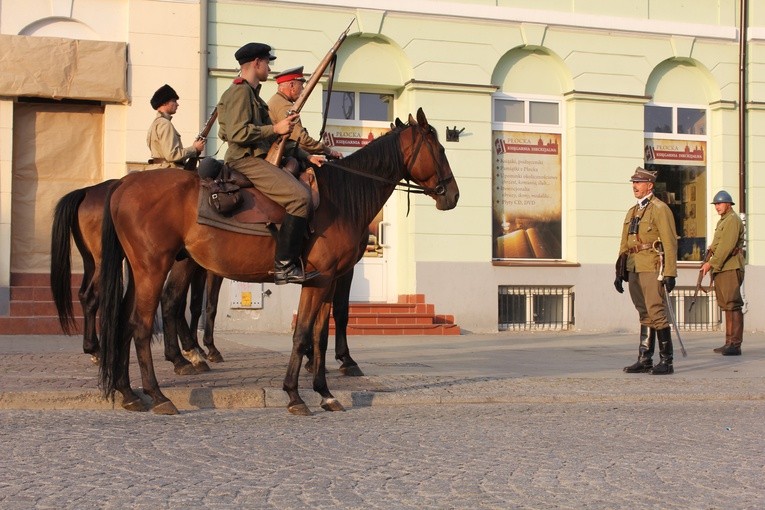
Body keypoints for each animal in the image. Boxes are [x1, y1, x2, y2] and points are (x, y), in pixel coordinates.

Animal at [99, 107, 460, 414]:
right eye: (439, 150)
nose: (453, 195)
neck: (340, 198)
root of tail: (124, 184)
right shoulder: (321, 280)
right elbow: (303, 334)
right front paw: (295, 394)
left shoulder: (327, 281)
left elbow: (320, 334)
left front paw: (325, 392)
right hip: (155, 269)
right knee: (143, 324)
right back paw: (159, 393)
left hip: (143, 271)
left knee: (124, 323)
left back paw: (130, 392)